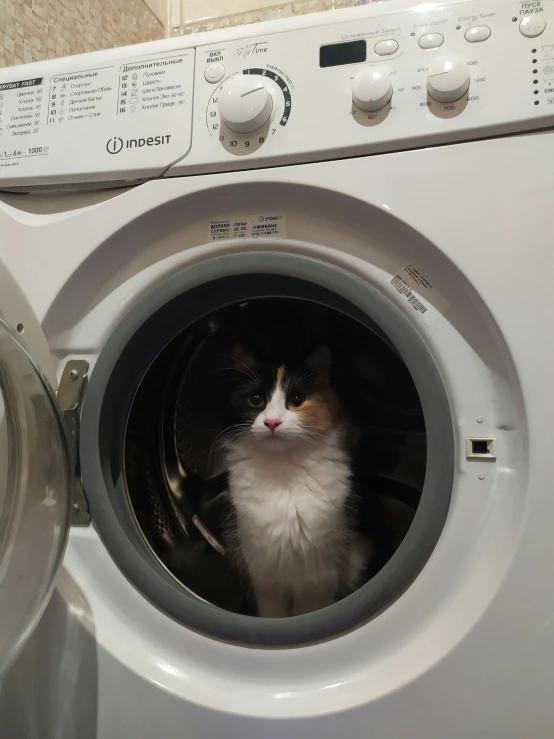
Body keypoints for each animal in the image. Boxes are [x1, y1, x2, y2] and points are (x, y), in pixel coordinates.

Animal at [219, 342, 366, 620]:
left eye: (296, 400)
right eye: (256, 400)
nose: (272, 422)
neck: (283, 471)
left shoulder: (318, 581)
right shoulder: (265, 577)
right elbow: (272, 613)